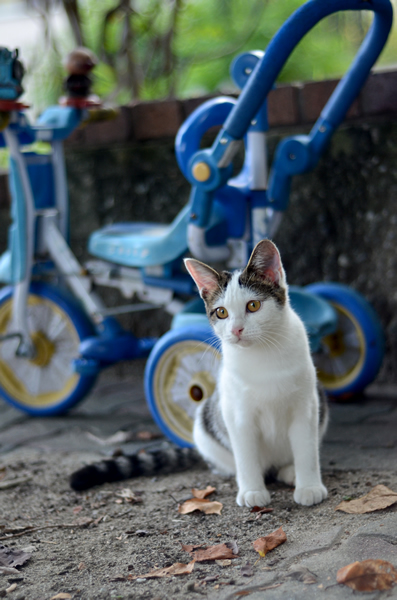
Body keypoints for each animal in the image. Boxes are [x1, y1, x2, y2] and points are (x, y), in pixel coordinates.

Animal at [69, 239, 326, 506]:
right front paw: (252, 490)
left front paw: (309, 485)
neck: (262, 354)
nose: (236, 330)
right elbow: (246, 454)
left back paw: (288, 471)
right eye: (221, 312)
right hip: (206, 421)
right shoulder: (237, 411)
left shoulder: (306, 406)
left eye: (253, 305)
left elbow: (306, 450)